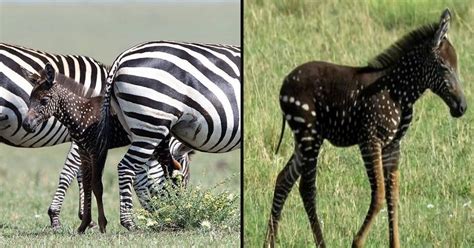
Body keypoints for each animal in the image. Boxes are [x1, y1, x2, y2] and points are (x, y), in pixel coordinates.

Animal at [0, 43, 193, 231]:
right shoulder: (84, 146)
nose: (27, 125)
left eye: (44, 101)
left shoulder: (89, 146)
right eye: (185, 178)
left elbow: (83, 178)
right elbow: (79, 177)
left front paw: (84, 220)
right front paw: (69, 220)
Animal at [264, 8, 468, 247]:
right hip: (309, 135)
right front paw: (357, 242)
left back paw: (269, 241)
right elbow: (379, 194)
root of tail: (285, 82)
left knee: (283, 179)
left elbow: (392, 195)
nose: (462, 107)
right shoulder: (370, 140)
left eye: (457, 67)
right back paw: (319, 243)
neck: (400, 92)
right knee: (306, 188)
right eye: (444, 67)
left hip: (306, 139)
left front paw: (394, 244)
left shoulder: (393, 145)